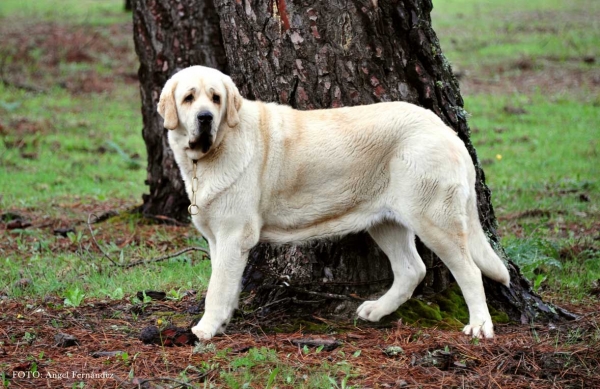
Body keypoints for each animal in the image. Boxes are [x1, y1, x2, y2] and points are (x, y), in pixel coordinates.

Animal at [157, 65, 508, 338]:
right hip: (386, 222)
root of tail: (446, 130)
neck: (208, 156)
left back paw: (480, 326)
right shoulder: (219, 238)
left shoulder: (233, 234)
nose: (205, 117)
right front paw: (223, 321)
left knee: (469, 271)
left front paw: (205, 329)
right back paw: (376, 310)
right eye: (189, 98)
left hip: (434, 220)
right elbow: (224, 282)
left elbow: (216, 288)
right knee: (412, 269)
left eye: (216, 98)